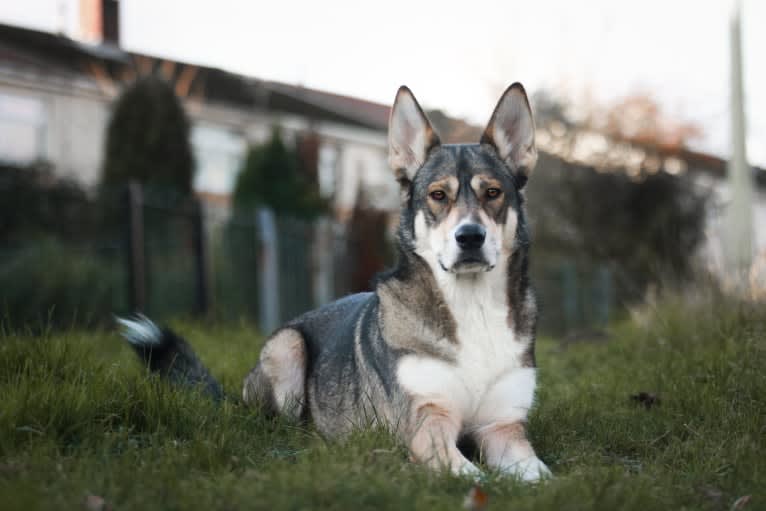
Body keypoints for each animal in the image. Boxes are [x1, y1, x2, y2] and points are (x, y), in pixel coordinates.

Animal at [117, 82, 552, 482]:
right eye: (438, 195)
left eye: (492, 192)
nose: (470, 237)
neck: (471, 308)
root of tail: (236, 400)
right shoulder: (428, 425)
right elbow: (477, 478)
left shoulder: (503, 428)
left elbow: (543, 477)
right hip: (287, 348)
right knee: (281, 426)